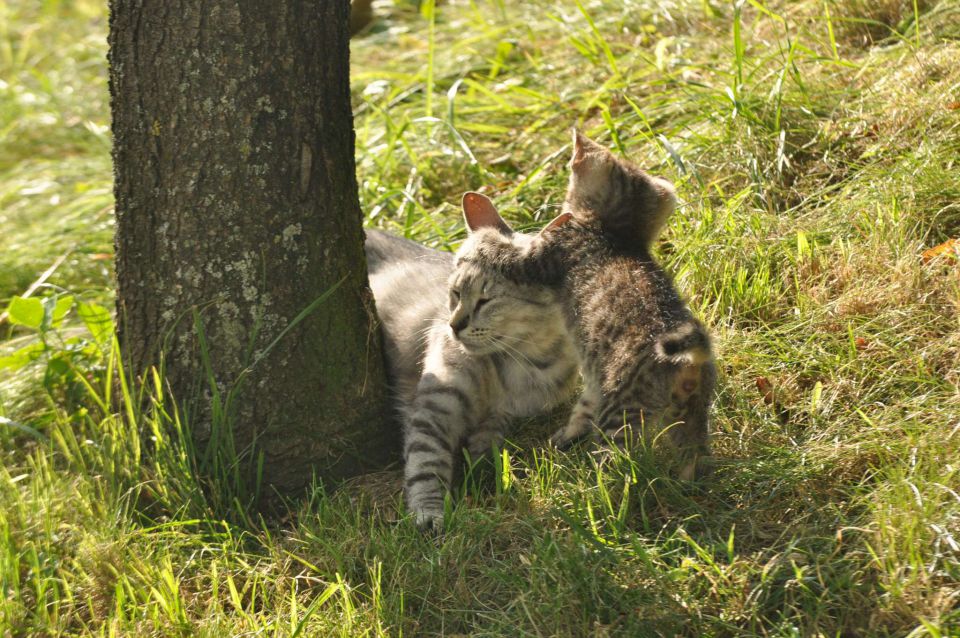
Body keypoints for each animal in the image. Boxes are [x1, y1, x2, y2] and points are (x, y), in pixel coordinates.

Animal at [366, 229, 576, 528]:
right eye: (455, 294)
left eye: (485, 301)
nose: (454, 325)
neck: (521, 363)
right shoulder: (435, 408)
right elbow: (426, 461)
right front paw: (429, 512)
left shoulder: (507, 415)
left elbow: (487, 447)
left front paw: (480, 475)